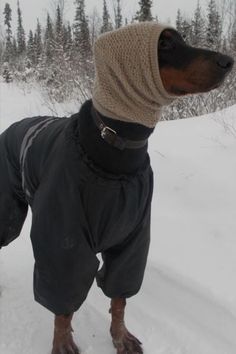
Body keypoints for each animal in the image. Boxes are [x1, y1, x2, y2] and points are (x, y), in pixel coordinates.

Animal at [0, 23, 232, 352]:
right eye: (165, 44)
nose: (228, 61)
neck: (116, 147)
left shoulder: (132, 238)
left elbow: (120, 296)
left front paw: (121, 336)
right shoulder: (64, 242)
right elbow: (63, 302)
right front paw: (62, 341)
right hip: (7, 211)